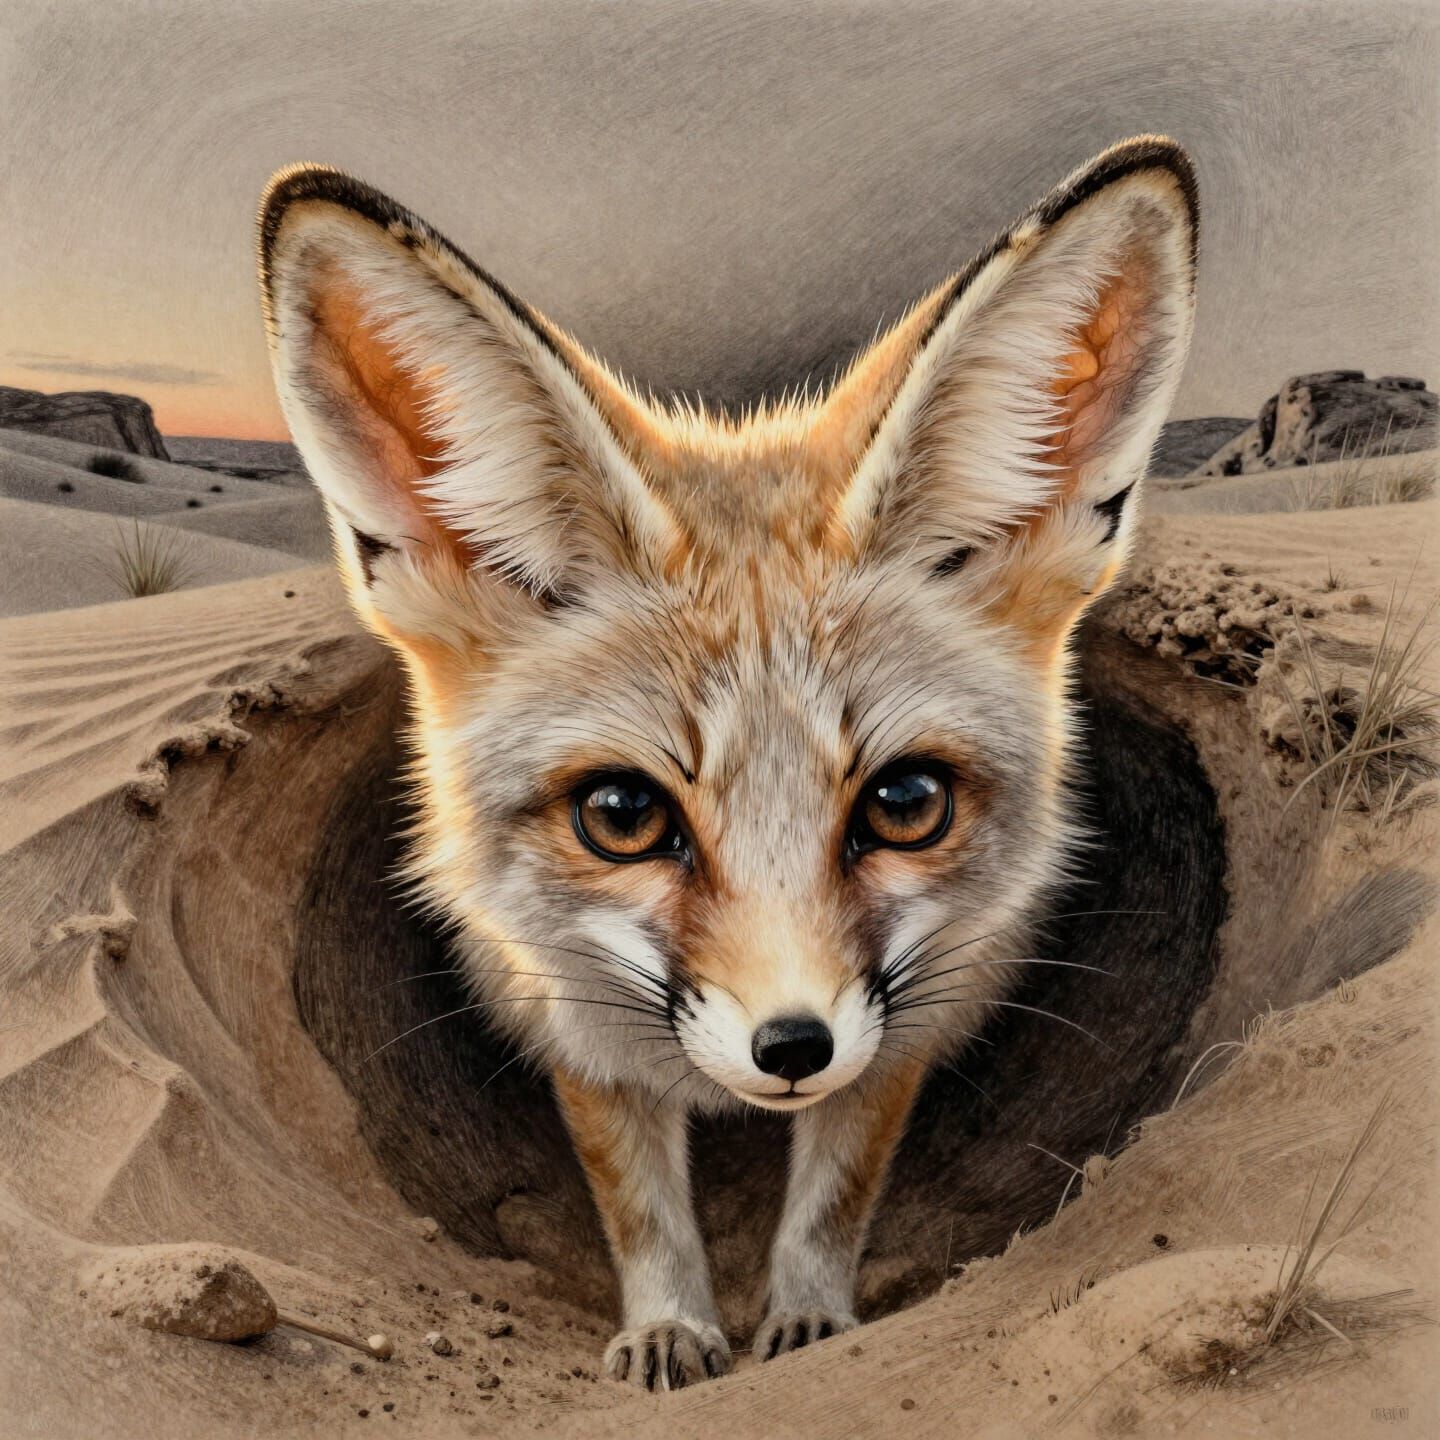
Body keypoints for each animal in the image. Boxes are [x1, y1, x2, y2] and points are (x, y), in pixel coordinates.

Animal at [257, 135, 1196, 1389]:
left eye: (906, 802)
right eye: (620, 815)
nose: (793, 1046)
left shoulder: (910, 1017)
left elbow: (835, 1192)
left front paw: (807, 1323)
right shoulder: (573, 1020)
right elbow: (641, 1206)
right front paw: (669, 1329)